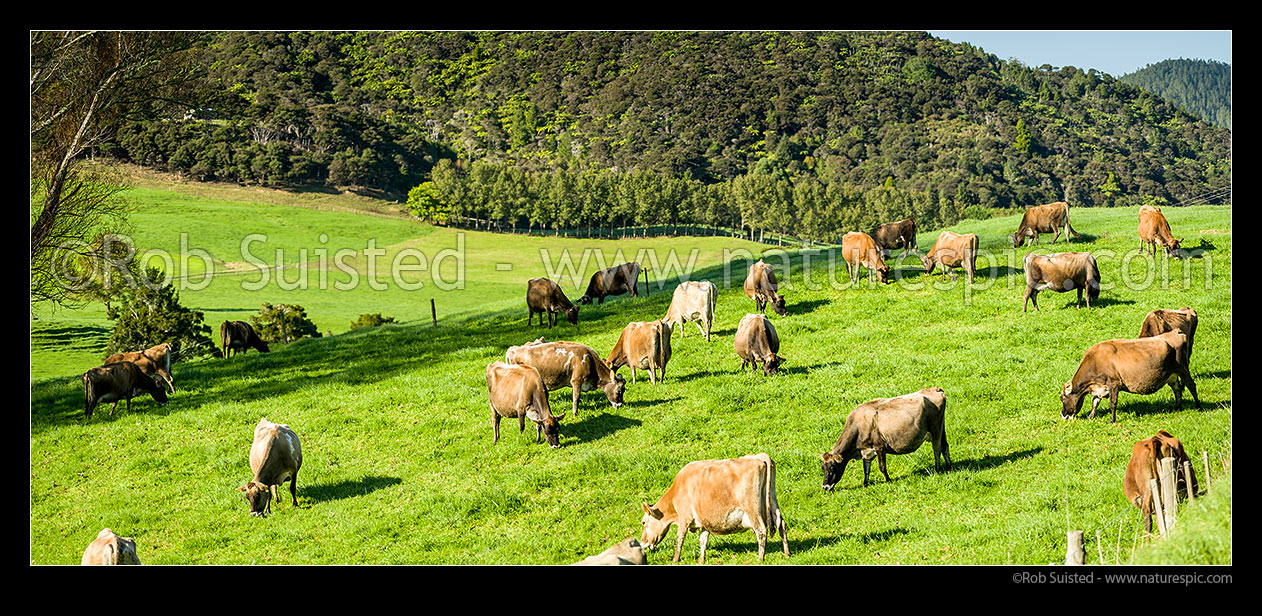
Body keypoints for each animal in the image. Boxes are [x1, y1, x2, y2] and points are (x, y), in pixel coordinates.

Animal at [641, 451, 787, 562]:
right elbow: (703, 540)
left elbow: (680, 538)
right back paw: (787, 554)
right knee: (781, 523)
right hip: (772, 501)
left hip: (751, 508)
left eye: (643, 522)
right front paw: (701, 560)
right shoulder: (705, 521)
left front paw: (675, 560)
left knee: (761, 530)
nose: (642, 542)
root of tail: (759, 456)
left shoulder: (685, 517)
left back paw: (760, 558)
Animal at [817, 386, 949, 487]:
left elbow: (882, 467)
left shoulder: (879, 447)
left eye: (832, 468)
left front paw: (888, 480)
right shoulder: (866, 451)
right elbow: (866, 469)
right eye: (823, 468)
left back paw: (937, 470)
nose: (825, 487)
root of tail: (935, 389)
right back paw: (948, 467)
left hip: (935, 429)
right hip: (941, 428)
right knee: (945, 446)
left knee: (937, 449)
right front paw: (865, 484)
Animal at [1060, 333, 1196, 424]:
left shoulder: (1114, 383)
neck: (1095, 361)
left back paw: (1198, 407)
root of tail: (1177, 333)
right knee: (1177, 389)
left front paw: (1112, 421)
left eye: (1062, 398)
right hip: (1172, 376)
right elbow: (1095, 402)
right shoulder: (1100, 387)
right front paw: (1090, 416)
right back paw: (1177, 408)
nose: (1062, 415)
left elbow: (1113, 404)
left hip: (1183, 369)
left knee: (1191, 385)